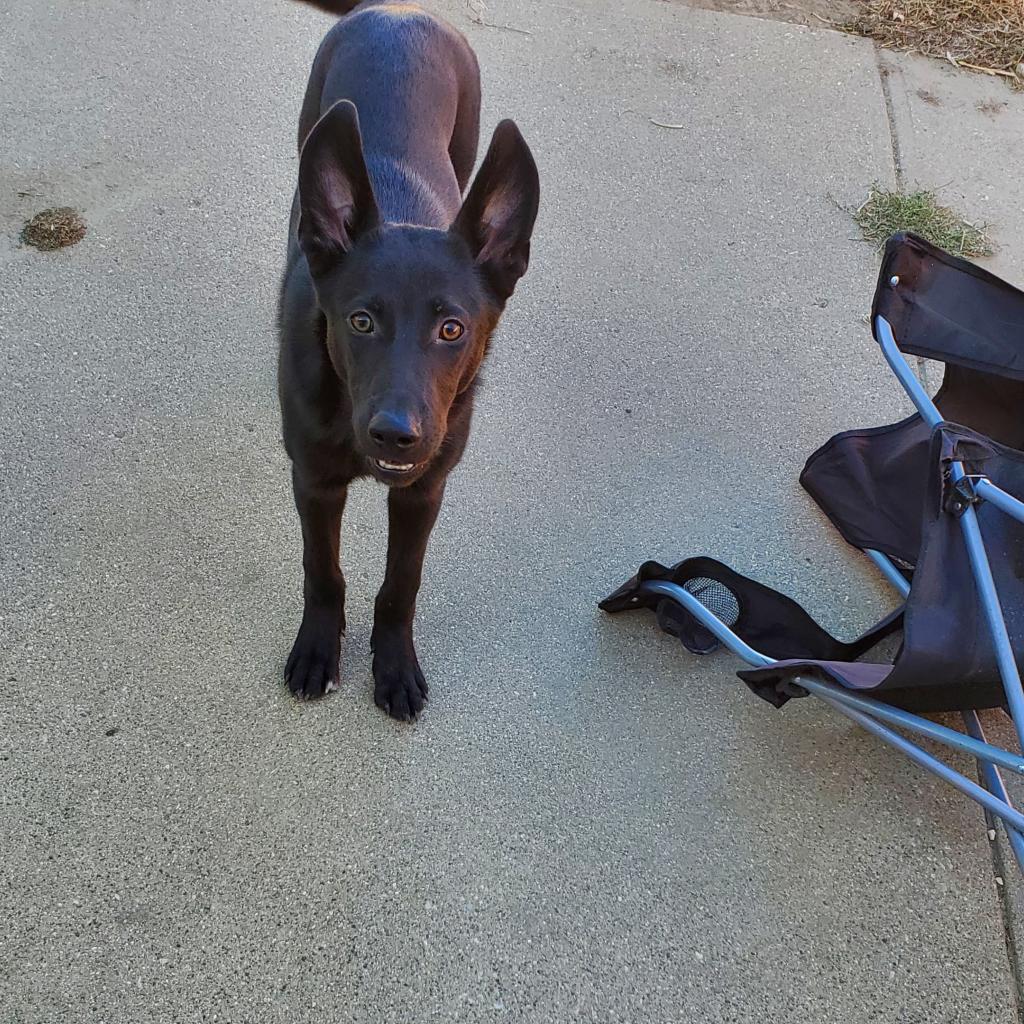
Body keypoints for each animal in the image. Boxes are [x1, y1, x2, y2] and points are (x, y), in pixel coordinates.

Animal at [276, 0, 540, 720]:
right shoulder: (313, 479)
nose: (396, 434)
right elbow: (322, 570)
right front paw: (318, 648)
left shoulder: (424, 488)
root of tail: (400, 10)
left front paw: (393, 664)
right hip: (310, 124)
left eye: (452, 328)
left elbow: (402, 583)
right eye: (361, 321)